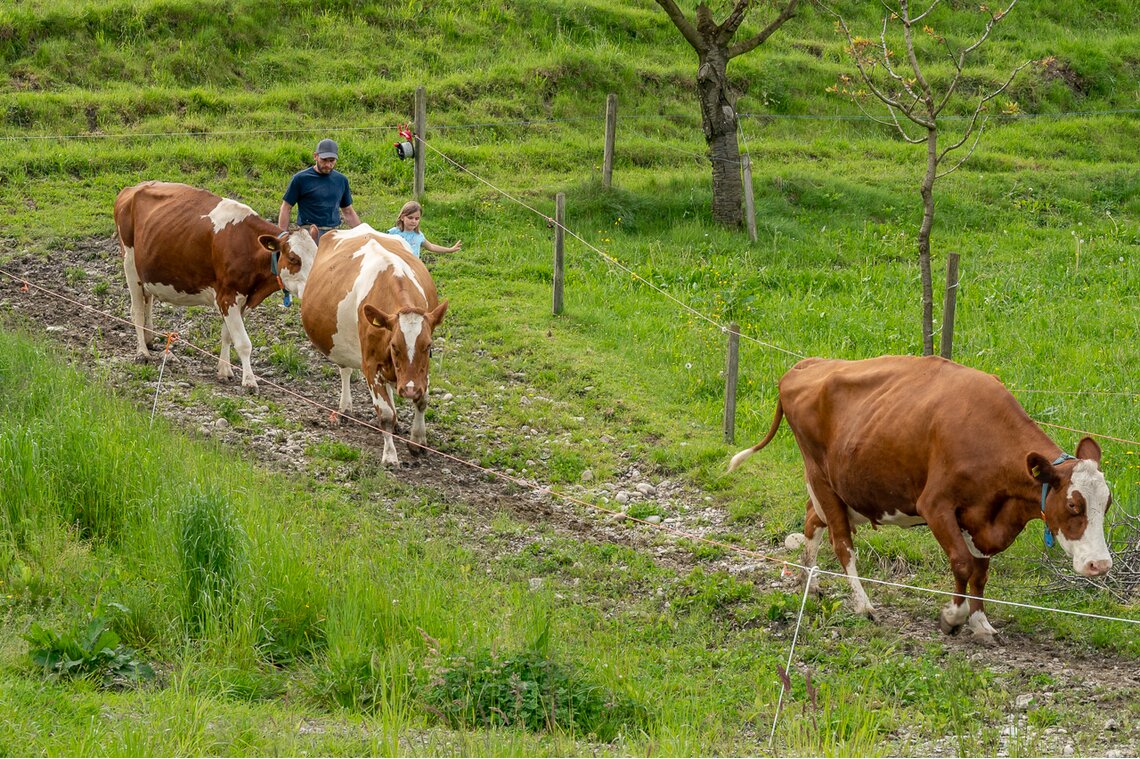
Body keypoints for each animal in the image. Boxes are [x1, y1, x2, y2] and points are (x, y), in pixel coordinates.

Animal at [114, 180, 319, 387]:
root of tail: (132, 189)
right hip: (130, 263)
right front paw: (249, 381)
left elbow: (227, 335)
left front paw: (224, 370)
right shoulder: (227, 296)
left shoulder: (242, 300)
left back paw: (149, 338)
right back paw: (142, 352)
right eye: (293, 258)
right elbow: (243, 342)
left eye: (317, 256)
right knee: (137, 310)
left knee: (147, 301)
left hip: (146, 271)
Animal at [300, 222, 446, 464]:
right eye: (395, 346)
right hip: (341, 344)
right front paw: (390, 456)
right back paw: (345, 408)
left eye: (428, 346)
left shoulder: (423, 370)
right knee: (345, 371)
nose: (408, 390)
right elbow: (385, 414)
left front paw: (417, 440)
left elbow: (422, 401)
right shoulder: (370, 365)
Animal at [729, 357, 1112, 642]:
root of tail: (807, 365)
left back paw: (811, 582)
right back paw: (864, 605)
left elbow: (981, 573)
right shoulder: (936, 506)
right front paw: (953, 617)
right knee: (842, 545)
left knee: (812, 521)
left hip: (836, 488)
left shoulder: (981, 519)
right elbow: (962, 564)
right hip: (820, 476)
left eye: (1106, 505)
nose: (1101, 565)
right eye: (1073, 505)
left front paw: (980, 623)